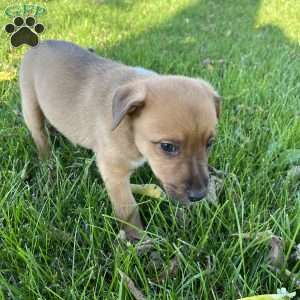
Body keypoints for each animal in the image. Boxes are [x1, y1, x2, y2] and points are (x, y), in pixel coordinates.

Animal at [19, 39, 219, 240]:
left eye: (209, 143)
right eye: (167, 146)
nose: (199, 195)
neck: (129, 127)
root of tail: (39, 43)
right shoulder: (114, 173)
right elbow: (128, 209)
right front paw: (137, 239)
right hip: (30, 105)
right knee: (40, 135)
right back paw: (47, 163)